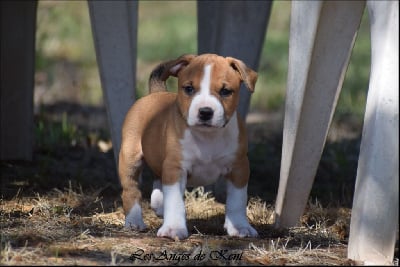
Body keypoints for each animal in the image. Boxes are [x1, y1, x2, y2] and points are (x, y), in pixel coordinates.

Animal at [118, 53, 256, 240]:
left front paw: (241, 227)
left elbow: (238, 200)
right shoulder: (175, 168)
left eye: (225, 91)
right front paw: (173, 228)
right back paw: (134, 221)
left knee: (158, 178)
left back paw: (159, 205)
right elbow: (175, 201)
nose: (205, 112)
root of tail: (156, 92)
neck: (207, 137)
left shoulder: (239, 168)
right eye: (189, 89)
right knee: (131, 190)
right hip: (130, 158)